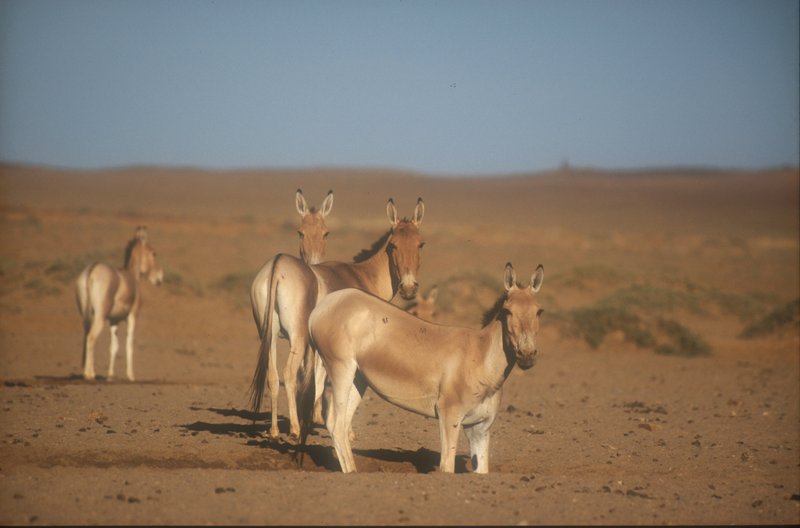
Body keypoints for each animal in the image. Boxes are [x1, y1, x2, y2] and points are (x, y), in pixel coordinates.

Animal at [76, 226, 163, 380]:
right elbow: (129, 344)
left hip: (86, 316)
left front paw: (110, 375)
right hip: (100, 316)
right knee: (92, 337)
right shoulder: (132, 316)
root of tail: (92, 269)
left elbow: (114, 346)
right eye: (153, 253)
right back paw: (89, 374)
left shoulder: (113, 320)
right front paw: (131, 375)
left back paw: (87, 371)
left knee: (86, 336)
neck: (132, 276)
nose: (160, 277)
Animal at [250, 198, 424, 438]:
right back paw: (294, 428)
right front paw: (346, 431)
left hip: (269, 335)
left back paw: (275, 431)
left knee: (273, 375)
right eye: (393, 245)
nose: (408, 288)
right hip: (297, 337)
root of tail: (277, 266)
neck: (363, 276)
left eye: (420, 244)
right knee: (288, 373)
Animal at [304, 262, 544, 472]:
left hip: (358, 379)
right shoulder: (449, 417)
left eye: (539, 311)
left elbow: (482, 470)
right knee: (336, 424)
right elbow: (446, 467)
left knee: (342, 424)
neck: (480, 358)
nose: (527, 356)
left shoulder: (480, 429)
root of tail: (326, 303)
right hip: (340, 369)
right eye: (508, 311)